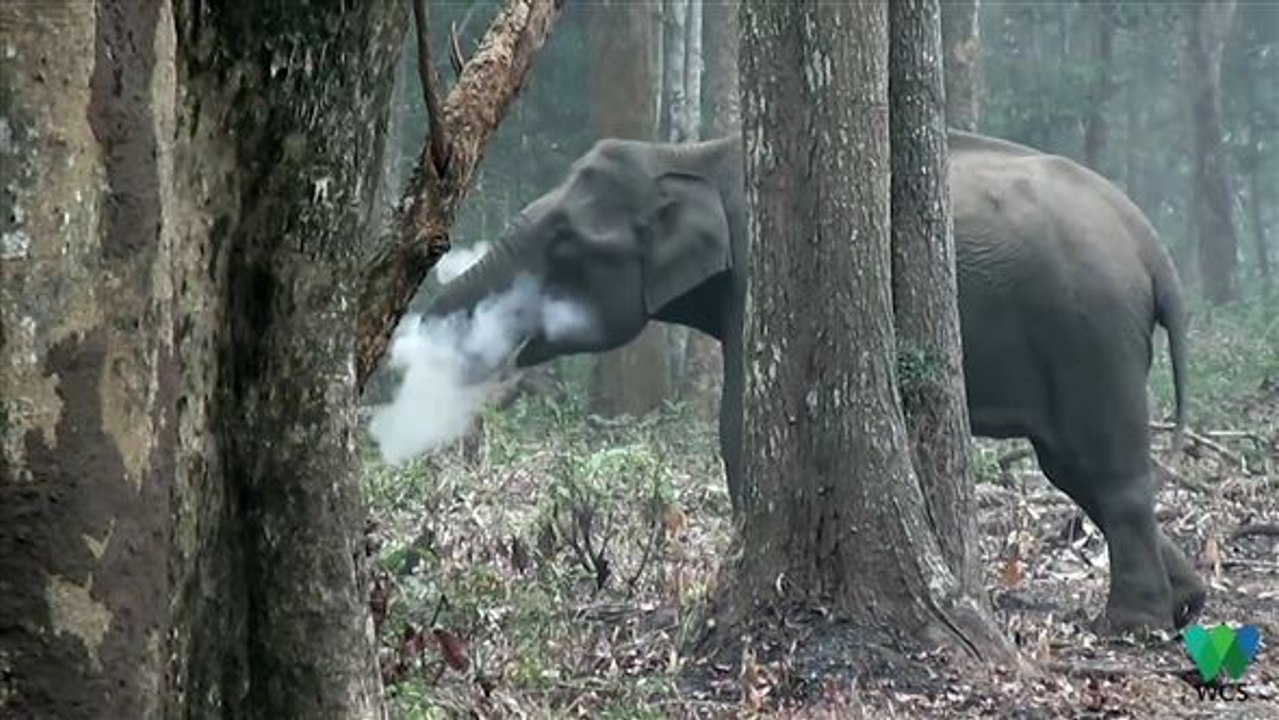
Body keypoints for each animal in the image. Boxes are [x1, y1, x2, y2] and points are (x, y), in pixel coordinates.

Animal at [416, 131, 1205, 634]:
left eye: (563, 243)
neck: (689, 154)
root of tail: (1153, 249)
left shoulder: (760, 276)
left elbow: (739, 427)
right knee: (1076, 470)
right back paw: (1188, 605)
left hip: (1090, 332)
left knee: (1106, 471)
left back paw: (1131, 626)